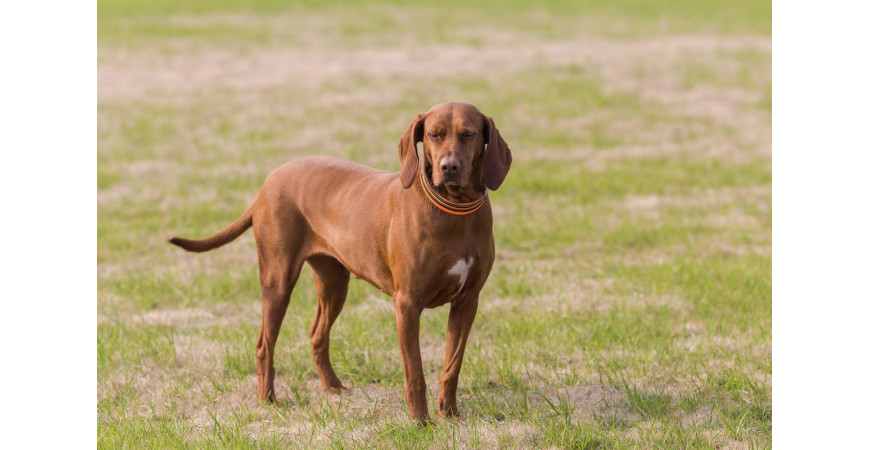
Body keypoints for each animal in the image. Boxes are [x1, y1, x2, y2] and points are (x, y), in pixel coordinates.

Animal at [169, 102, 510, 422]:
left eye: (468, 134)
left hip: (334, 283)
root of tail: (266, 184)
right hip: (278, 280)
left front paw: (448, 414)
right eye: (434, 134)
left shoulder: (467, 301)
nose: (448, 167)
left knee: (317, 333)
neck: (454, 209)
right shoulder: (407, 303)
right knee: (264, 344)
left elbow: (453, 364)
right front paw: (420, 422)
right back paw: (268, 400)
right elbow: (415, 372)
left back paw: (332, 387)